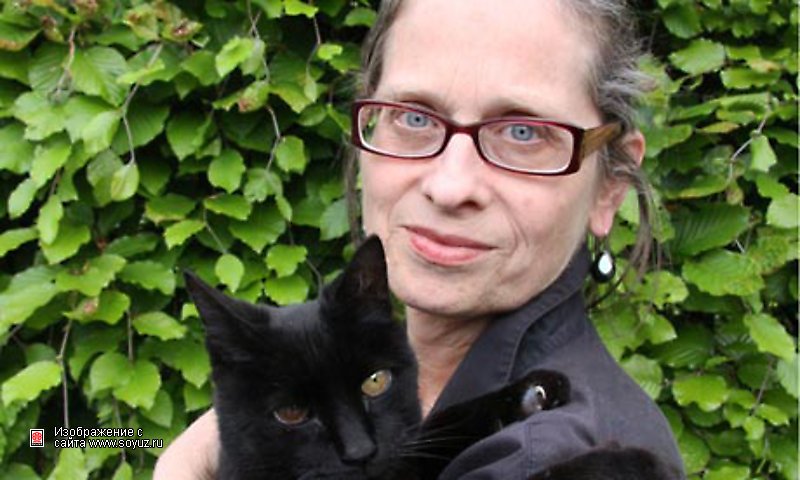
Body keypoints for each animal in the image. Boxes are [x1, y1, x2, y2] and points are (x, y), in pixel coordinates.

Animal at [185, 236, 677, 480]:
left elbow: (433, 429)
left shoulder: (404, 451)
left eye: (376, 382)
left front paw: (532, 393)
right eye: (290, 413)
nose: (360, 452)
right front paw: (625, 463)